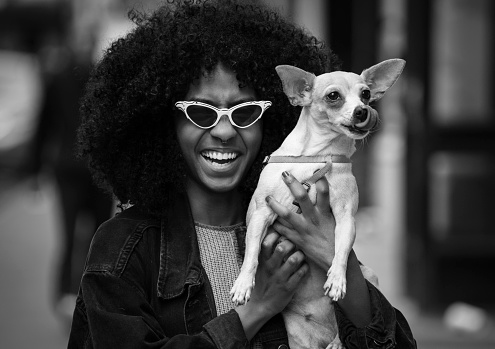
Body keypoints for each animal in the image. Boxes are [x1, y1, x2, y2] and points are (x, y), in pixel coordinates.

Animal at [232, 58, 406, 346]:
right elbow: (253, 253)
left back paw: (336, 340)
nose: (362, 110)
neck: (318, 156)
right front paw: (243, 284)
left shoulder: (346, 219)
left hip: (369, 276)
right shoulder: (261, 212)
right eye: (333, 96)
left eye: (366, 94)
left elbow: (341, 250)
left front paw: (337, 279)